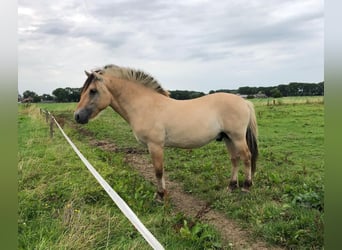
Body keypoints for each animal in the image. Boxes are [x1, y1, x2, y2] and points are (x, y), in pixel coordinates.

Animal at [73, 65, 258, 201]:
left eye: (92, 91)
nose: (77, 116)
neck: (145, 105)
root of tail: (244, 101)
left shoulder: (155, 146)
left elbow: (158, 170)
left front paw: (161, 196)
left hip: (237, 137)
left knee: (246, 157)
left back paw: (246, 187)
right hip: (228, 138)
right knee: (234, 159)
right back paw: (231, 186)